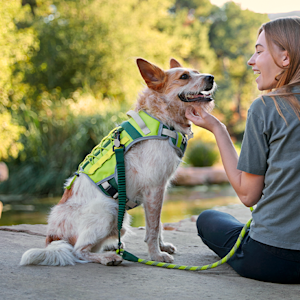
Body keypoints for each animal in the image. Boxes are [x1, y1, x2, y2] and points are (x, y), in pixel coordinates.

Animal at [19, 57, 214, 266]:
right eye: (184, 76)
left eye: (197, 72)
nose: (211, 77)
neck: (159, 118)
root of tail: (53, 238)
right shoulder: (154, 188)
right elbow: (153, 228)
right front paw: (156, 255)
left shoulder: (158, 189)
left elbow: (159, 224)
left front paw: (162, 247)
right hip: (109, 209)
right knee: (79, 251)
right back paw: (108, 257)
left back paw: (112, 247)